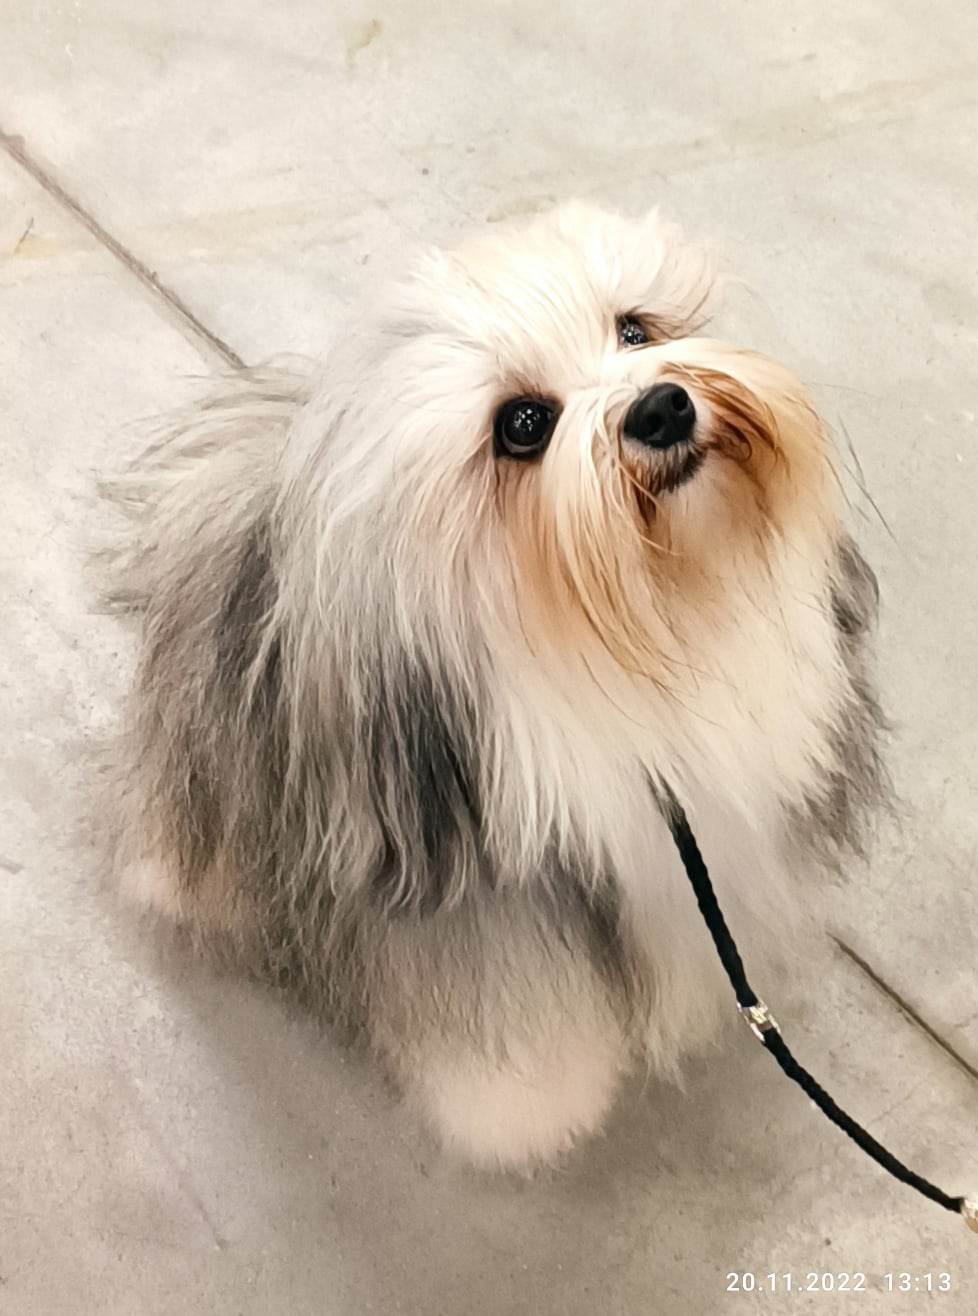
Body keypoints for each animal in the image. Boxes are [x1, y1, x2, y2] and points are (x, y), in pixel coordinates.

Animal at [103, 203, 884, 1170]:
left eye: (635, 329)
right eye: (523, 424)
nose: (662, 405)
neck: (655, 608)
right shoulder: (475, 893)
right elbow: (514, 1017)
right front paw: (530, 1110)